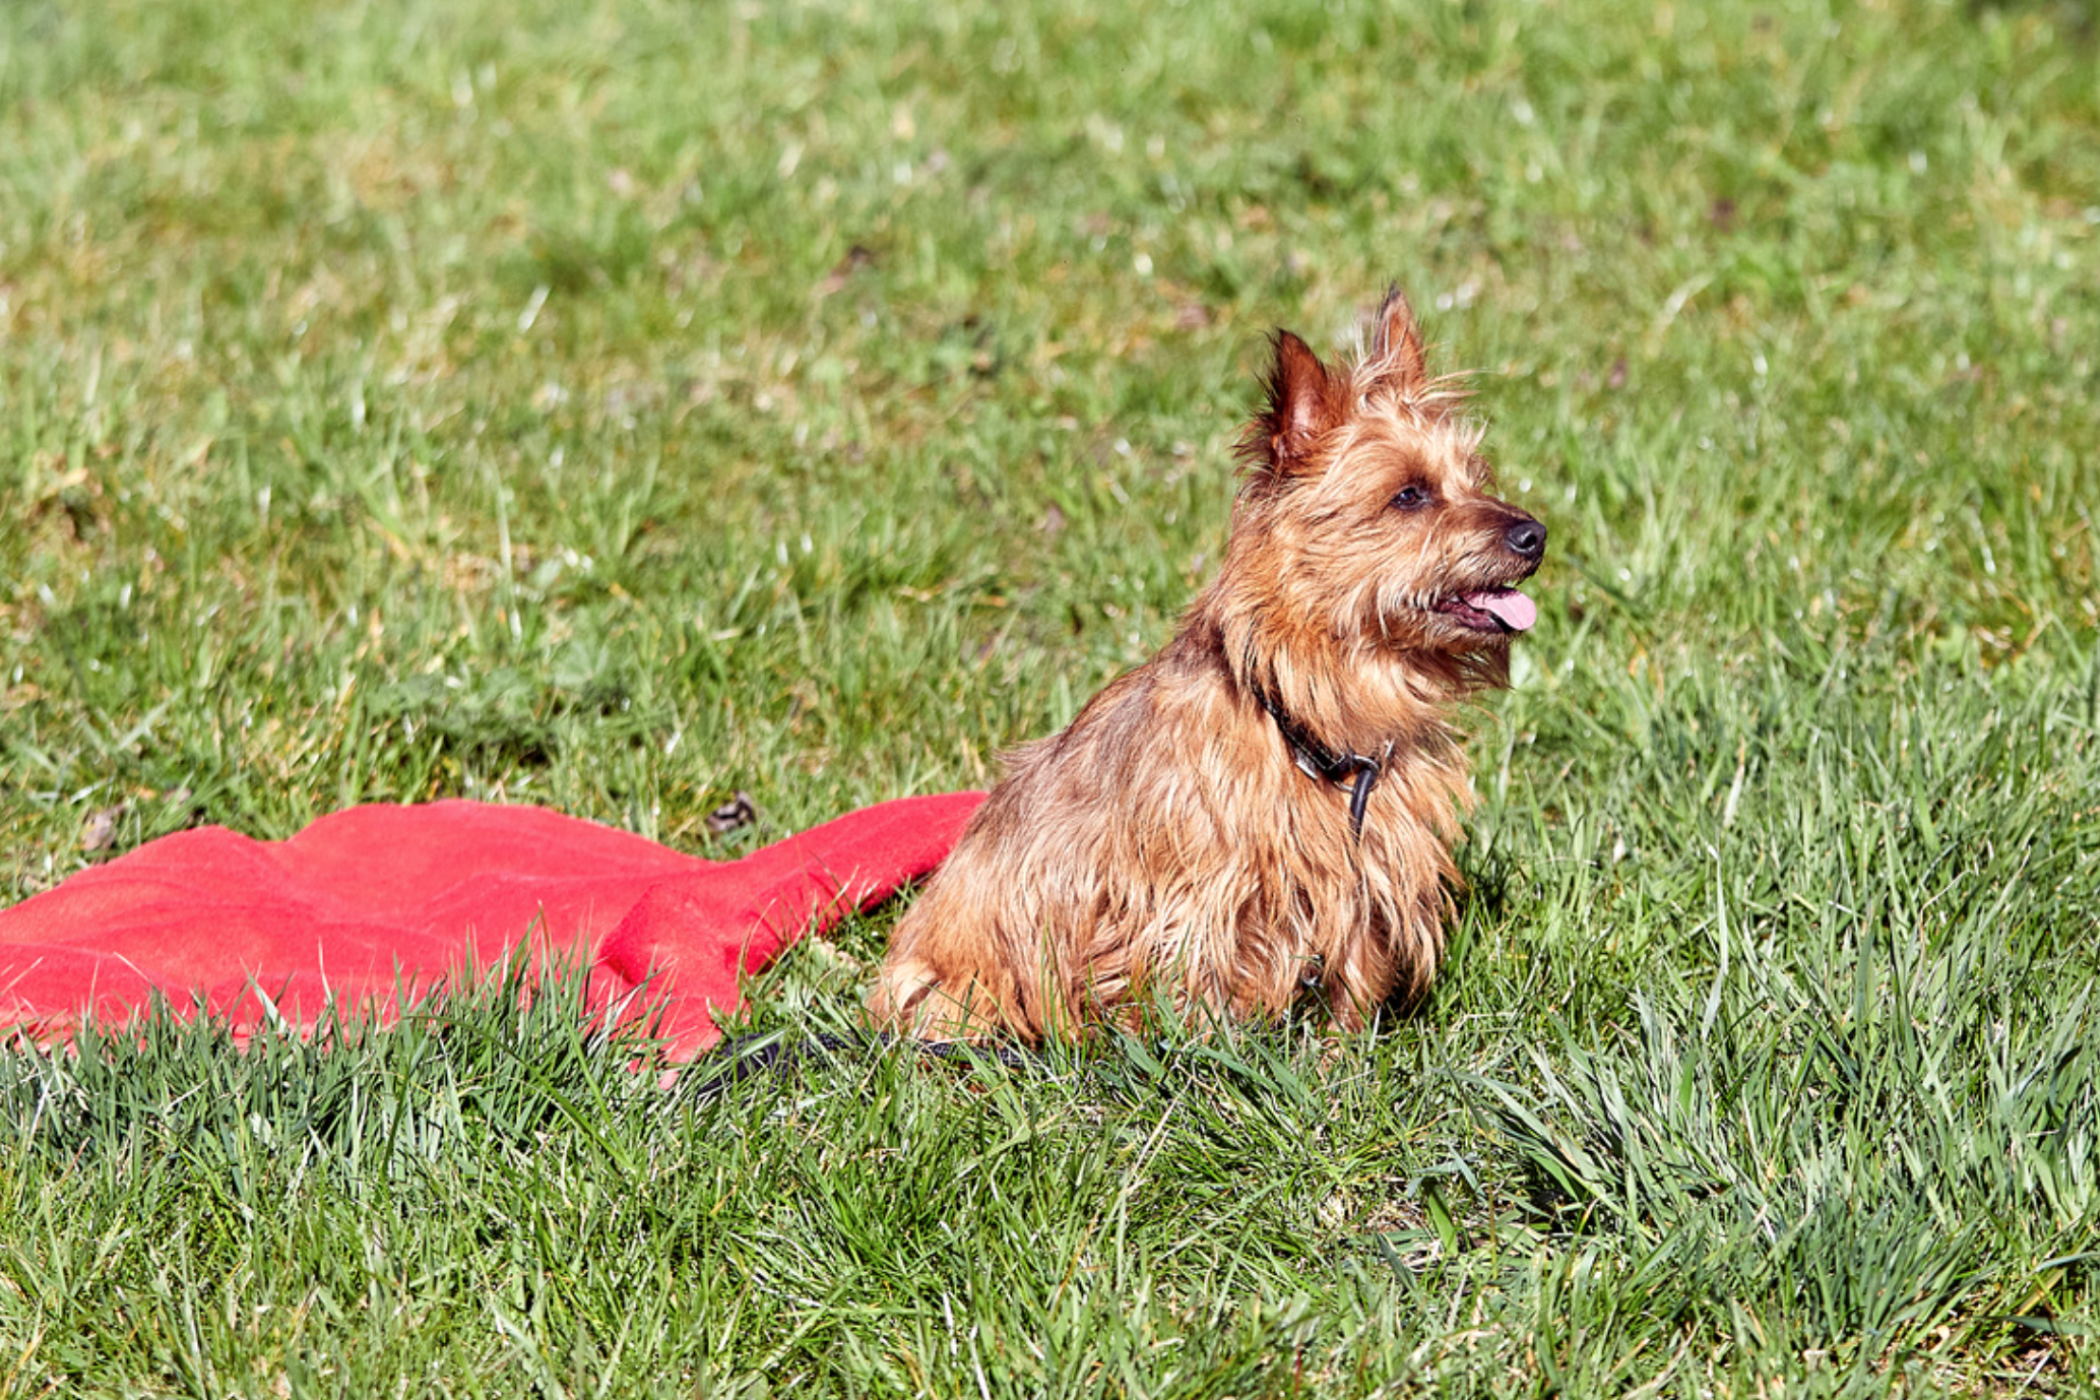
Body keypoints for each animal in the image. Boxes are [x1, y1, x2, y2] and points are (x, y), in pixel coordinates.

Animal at [869, 287, 1545, 1041]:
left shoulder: (1366, 872)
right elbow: (1196, 980)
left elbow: (1353, 974)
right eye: (1409, 494)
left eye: (1475, 479)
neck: (1309, 727)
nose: (1535, 534)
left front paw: (1341, 1055)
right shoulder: (1196, 896)